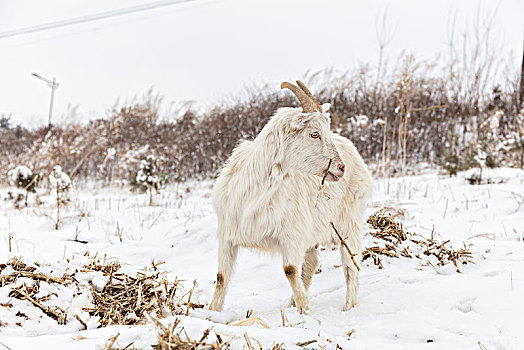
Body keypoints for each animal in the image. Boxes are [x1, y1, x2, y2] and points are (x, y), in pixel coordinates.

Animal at [209, 80, 372, 314]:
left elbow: (290, 270)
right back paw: (290, 304)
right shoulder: (227, 235)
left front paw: (305, 312)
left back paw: (347, 307)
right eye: (314, 134)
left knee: (351, 265)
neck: (255, 191)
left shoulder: (291, 235)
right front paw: (211, 312)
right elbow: (222, 277)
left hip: (349, 224)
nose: (341, 168)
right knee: (312, 262)